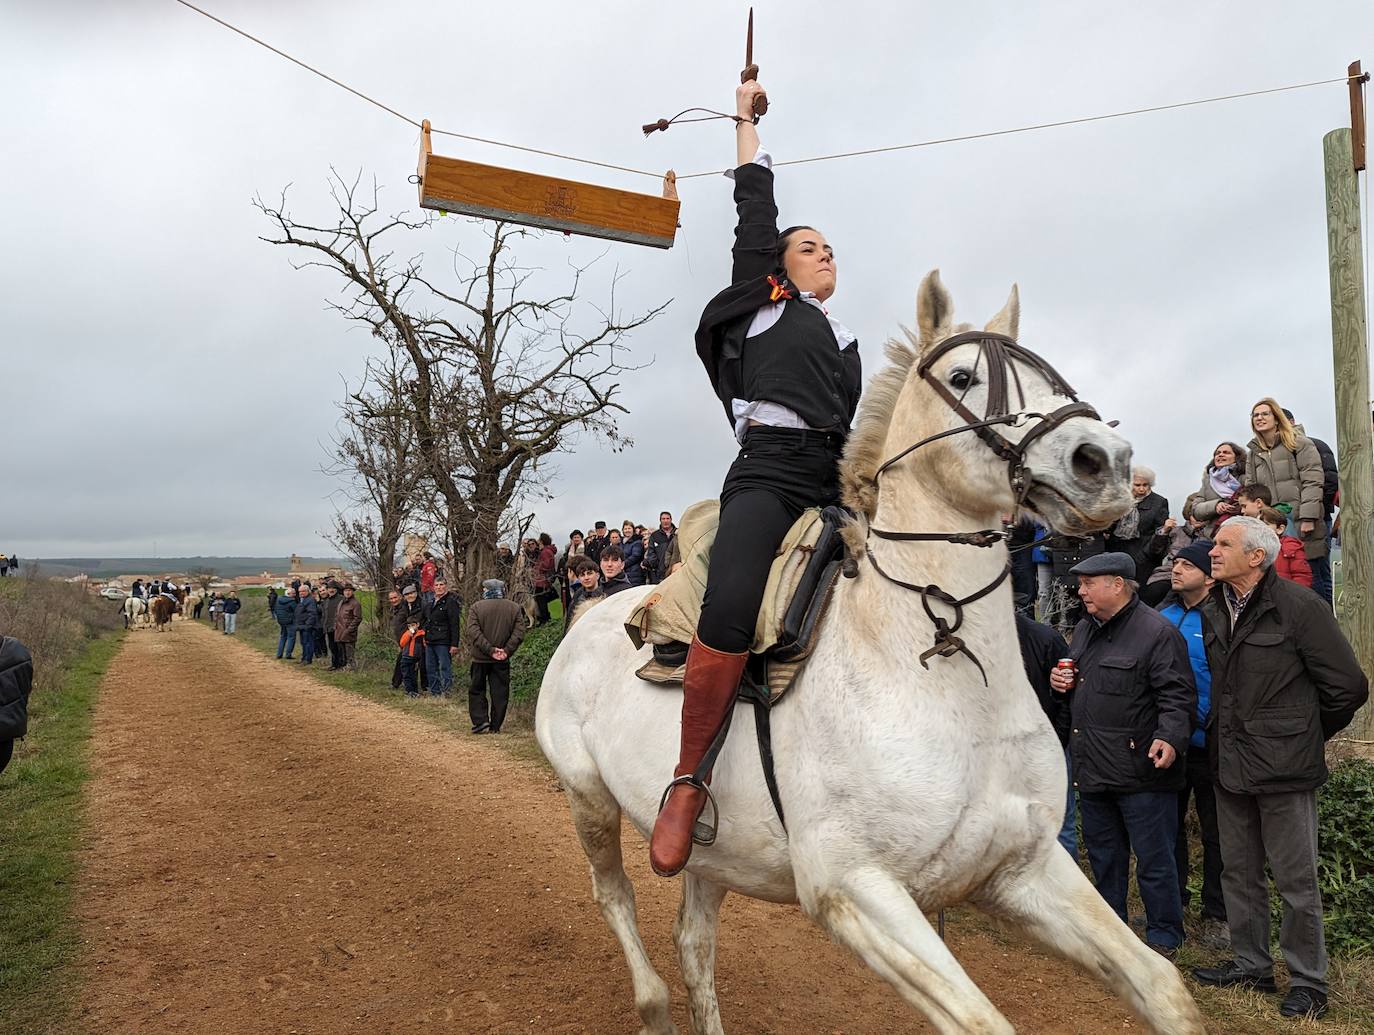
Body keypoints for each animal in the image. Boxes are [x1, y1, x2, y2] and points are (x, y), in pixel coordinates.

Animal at [535, 272, 1203, 1033]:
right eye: (963, 376)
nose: (1106, 463)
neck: (942, 673)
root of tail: (589, 611)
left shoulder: (1027, 868)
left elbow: (1161, 985)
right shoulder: (854, 888)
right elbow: (983, 1021)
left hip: (716, 857)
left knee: (694, 944)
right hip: (588, 797)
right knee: (615, 898)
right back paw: (651, 1002)